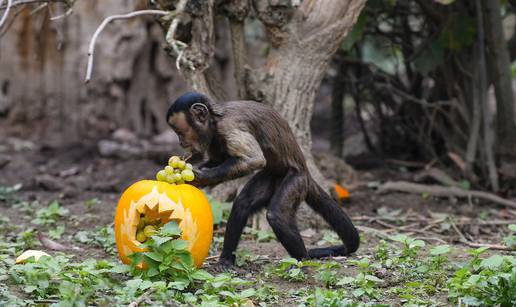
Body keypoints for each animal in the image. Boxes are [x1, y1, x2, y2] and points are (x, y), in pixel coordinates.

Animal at [165, 92, 358, 268]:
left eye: (180, 131)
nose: (181, 142)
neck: (215, 120)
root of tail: (306, 171)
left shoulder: (228, 127)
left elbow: (254, 160)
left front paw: (198, 176)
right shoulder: (213, 136)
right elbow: (220, 161)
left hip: (296, 180)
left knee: (277, 215)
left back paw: (302, 260)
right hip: (271, 176)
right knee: (242, 204)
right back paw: (226, 258)